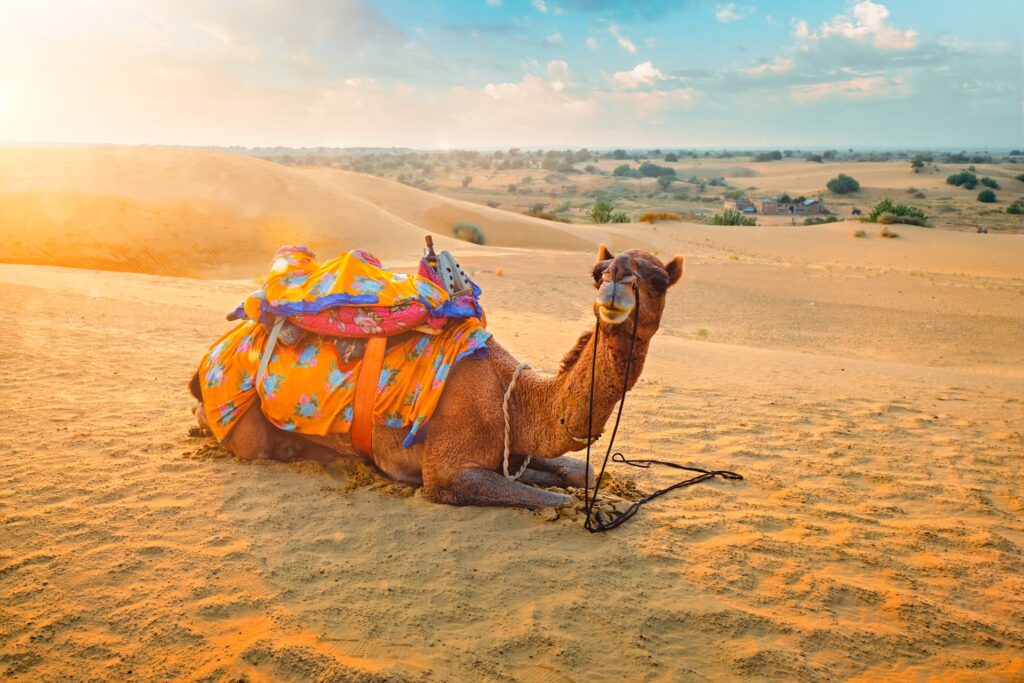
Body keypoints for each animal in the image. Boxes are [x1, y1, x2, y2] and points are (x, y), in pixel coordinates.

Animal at [191, 245, 683, 509]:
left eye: (659, 280)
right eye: (598, 273)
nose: (615, 284)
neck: (513, 396)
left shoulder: (512, 450)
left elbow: (573, 469)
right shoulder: (446, 473)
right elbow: (558, 499)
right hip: (241, 424)